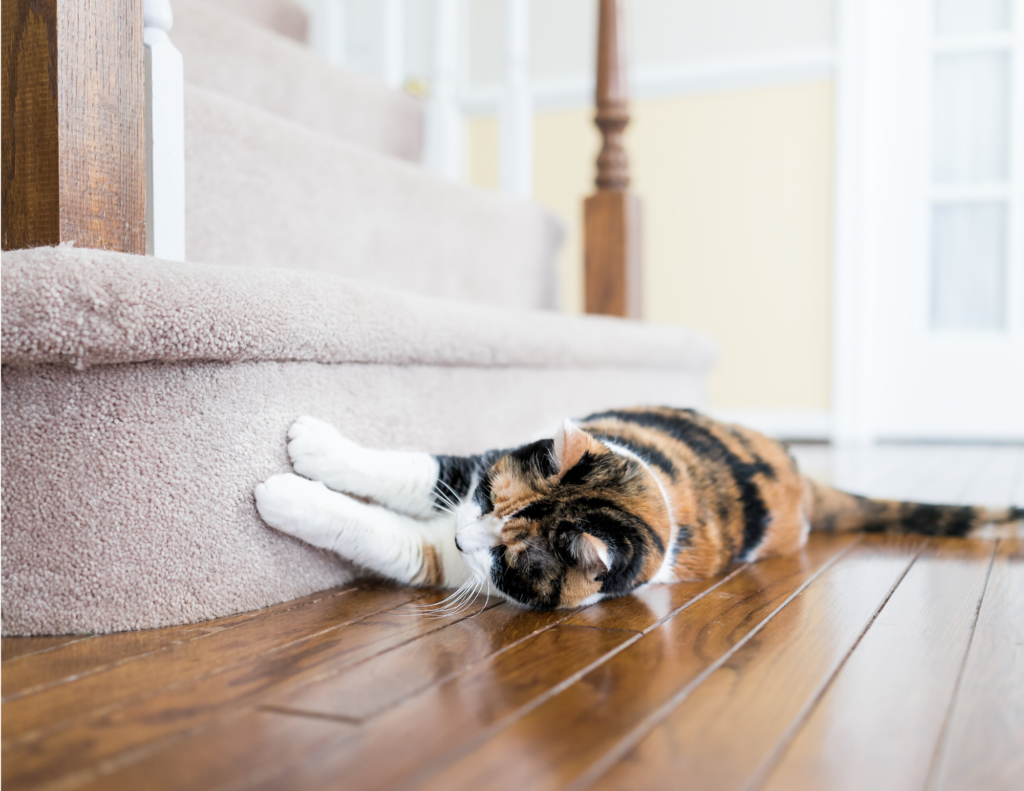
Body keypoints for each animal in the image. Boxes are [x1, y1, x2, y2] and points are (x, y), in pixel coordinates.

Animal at [253, 407, 1015, 610]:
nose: (470, 539)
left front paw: (280, 492)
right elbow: (417, 469)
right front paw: (310, 444)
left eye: (506, 556)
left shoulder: (449, 558)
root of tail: (801, 476)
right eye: (492, 497)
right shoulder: (471, 467)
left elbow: (392, 537)